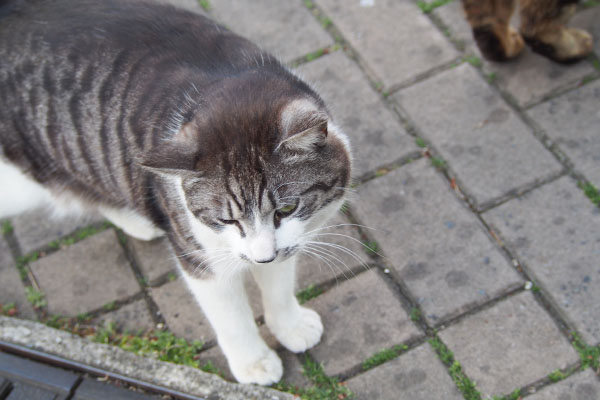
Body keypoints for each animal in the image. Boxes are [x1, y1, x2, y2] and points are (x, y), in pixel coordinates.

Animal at [0, 0, 352, 386]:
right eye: (227, 220)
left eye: (285, 210)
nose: (261, 257)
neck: (225, 81)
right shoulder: (199, 255)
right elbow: (232, 318)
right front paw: (254, 361)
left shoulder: (289, 240)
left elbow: (278, 285)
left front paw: (290, 325)